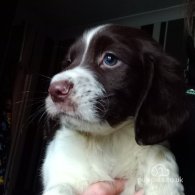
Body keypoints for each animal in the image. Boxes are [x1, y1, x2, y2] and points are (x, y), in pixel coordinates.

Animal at [42, 24, 187, 195]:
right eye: (68, 62)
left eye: (110, 59)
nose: (55, 90)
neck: (108, 140)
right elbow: (60, 188)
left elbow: (159, 151)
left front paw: (163, 186)